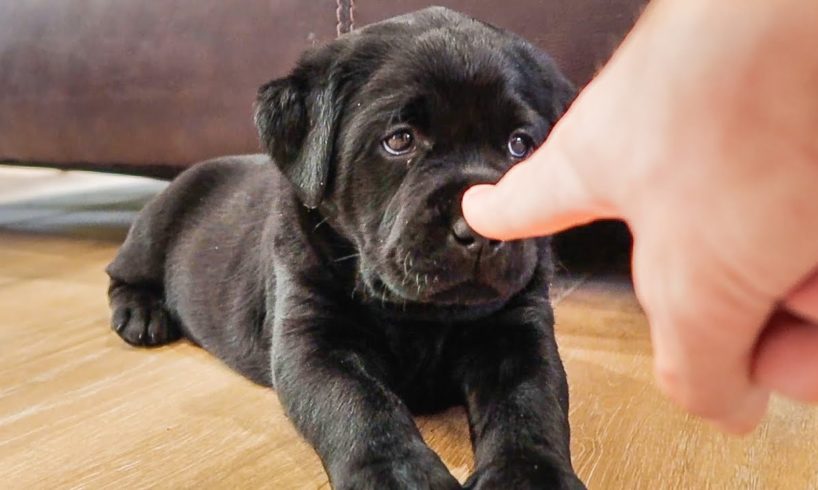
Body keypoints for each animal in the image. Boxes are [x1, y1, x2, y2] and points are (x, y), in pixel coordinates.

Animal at [105, 7, 584, 490]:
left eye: (519, 145)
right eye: (400, 140)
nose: (480, 231)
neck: (421, 316)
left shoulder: (519, 330)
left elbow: (529, 404)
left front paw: (529, 476)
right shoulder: (314, 340)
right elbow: (361, 408)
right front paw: (399, 476)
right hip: (155, 225)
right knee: (120, 274)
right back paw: (142, 314)